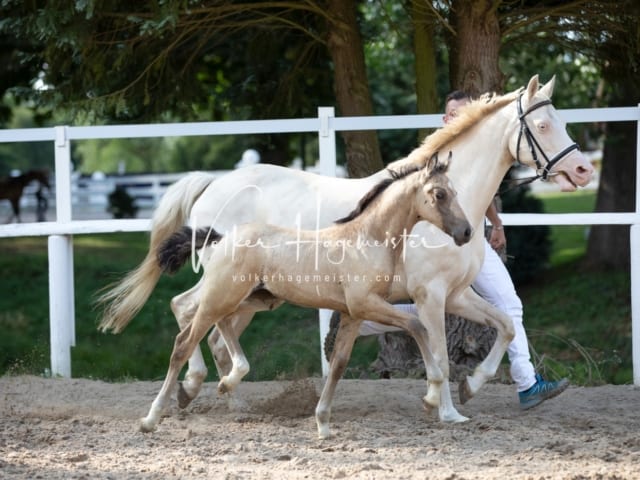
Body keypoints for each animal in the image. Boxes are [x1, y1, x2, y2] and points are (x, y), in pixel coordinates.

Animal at [140, 154, 472, 436]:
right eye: (439, 194)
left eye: (456, 191)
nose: (466, 232)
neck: (367, 240)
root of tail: (222, 237)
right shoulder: (367, 304)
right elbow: (417, 326)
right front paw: (431, 396)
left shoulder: (353, 314)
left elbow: (338, 364)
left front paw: (323, 424)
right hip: (224, 294)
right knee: (184, 340)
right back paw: (153, 417)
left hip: (251, 299)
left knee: (212, 329)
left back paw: (225, 383)